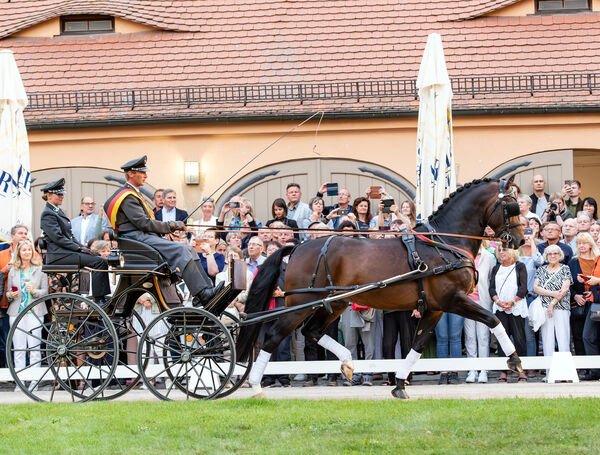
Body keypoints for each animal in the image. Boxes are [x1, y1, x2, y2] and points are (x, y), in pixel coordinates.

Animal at [237, 176, 524, 398]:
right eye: (510, 205)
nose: (520, 240)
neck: (444, 244)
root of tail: (297, 247)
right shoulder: (452, 300)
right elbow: (492, 319)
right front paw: (515, 360)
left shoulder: (434, 308)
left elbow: (417, 345)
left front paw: (399, 385)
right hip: (301, 303)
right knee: (275, 336)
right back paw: (255, 385)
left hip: (334, 302)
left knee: (312, 331)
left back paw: (348, 363)